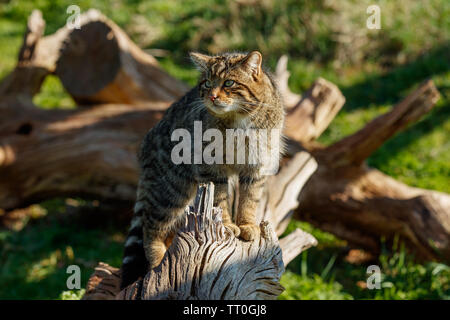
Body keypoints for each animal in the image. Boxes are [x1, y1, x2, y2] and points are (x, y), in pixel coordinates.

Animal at [120, 51, 284, 288]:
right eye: (207, 83)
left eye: (229, 83)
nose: (212, 97)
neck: (238, 119)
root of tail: (146, 142)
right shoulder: (212, 167)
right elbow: (221, 200)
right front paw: (229, 225)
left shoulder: (257, 166)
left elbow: (249, 200)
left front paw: (247, 224)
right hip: (171, 190)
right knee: (151, 227)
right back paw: (158, 262)